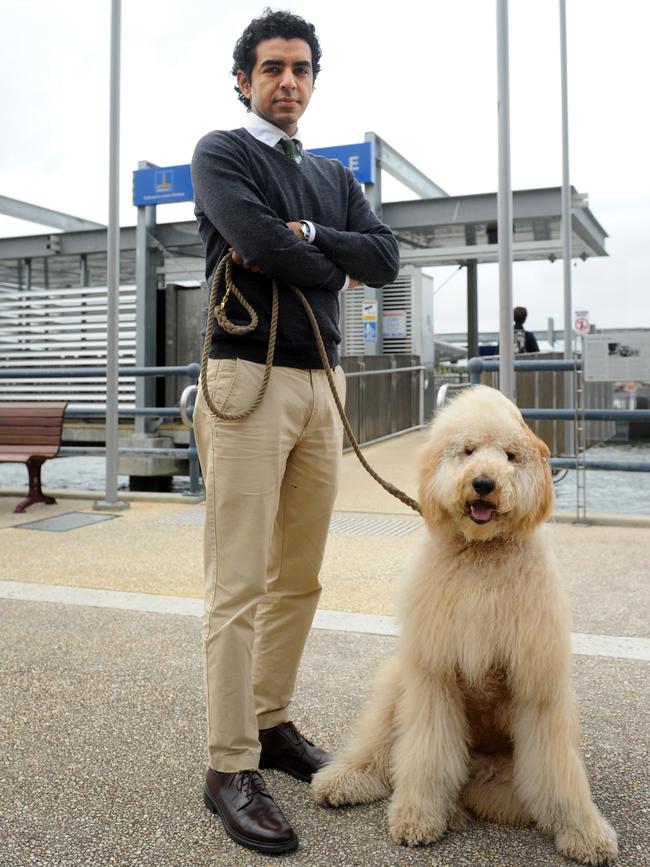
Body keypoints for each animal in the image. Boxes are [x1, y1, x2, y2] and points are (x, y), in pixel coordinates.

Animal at [312, 388, 616, 867]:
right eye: (468, 451)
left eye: (510, 455)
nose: (484, 484)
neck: (481, 556)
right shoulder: (434, 674)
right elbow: (426, 756)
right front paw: (418, 816)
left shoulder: (539, 681)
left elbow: (559, 770)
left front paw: (584, 832)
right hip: (398, 681)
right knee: (381, 748)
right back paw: (347, 781)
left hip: (502, 774)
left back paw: (458, 809)